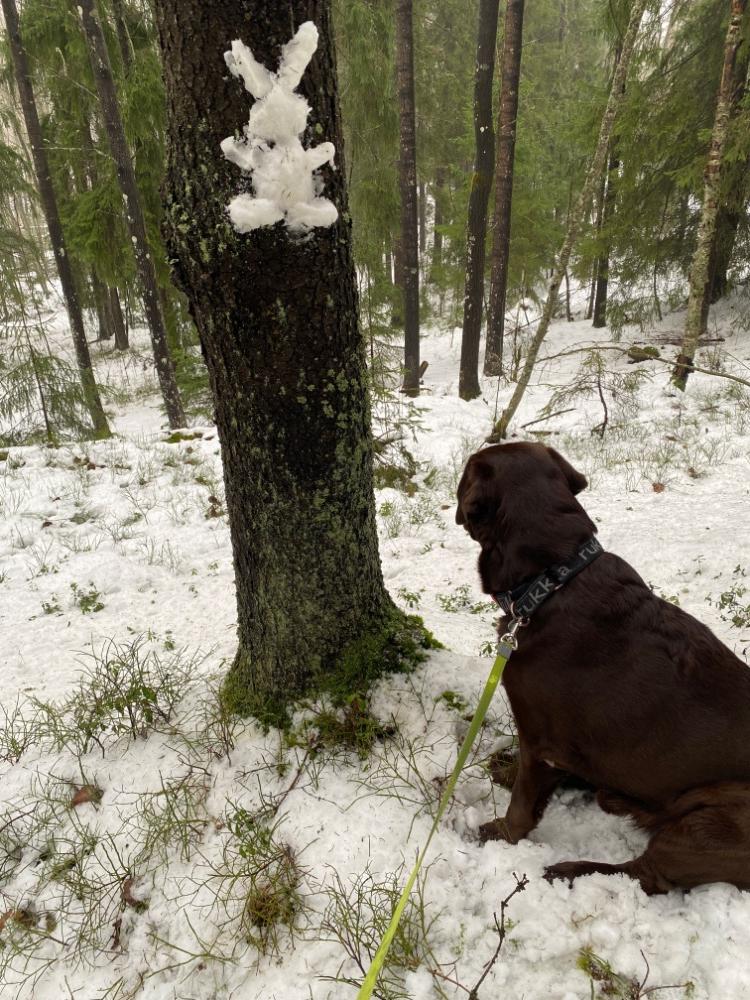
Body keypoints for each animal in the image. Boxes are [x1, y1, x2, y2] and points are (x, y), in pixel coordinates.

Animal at [456, 441, 750, 894]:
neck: (552, 580)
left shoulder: (539, 737)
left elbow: (523, 800)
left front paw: (499, 832)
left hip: (710, 819)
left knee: (646, 876)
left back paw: (570, 870)